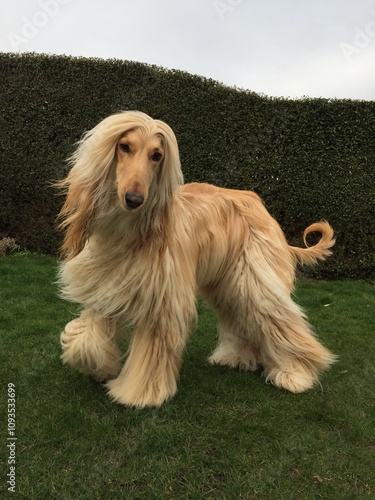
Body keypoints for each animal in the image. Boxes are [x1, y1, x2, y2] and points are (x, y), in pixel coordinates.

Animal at [56, 109, 338, 406]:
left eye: (157, 155)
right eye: (124, 146)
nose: (134, 198)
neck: (127, 230)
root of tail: (259, 206)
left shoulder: (163, 300)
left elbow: (151, 351)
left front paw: (138, 394)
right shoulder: (107, 285)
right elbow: (84, 335)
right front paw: (101, 368)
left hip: (254, 277)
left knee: (278, 319)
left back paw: (295, 373)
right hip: (226, 282)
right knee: (240, 317)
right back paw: (237, 358)